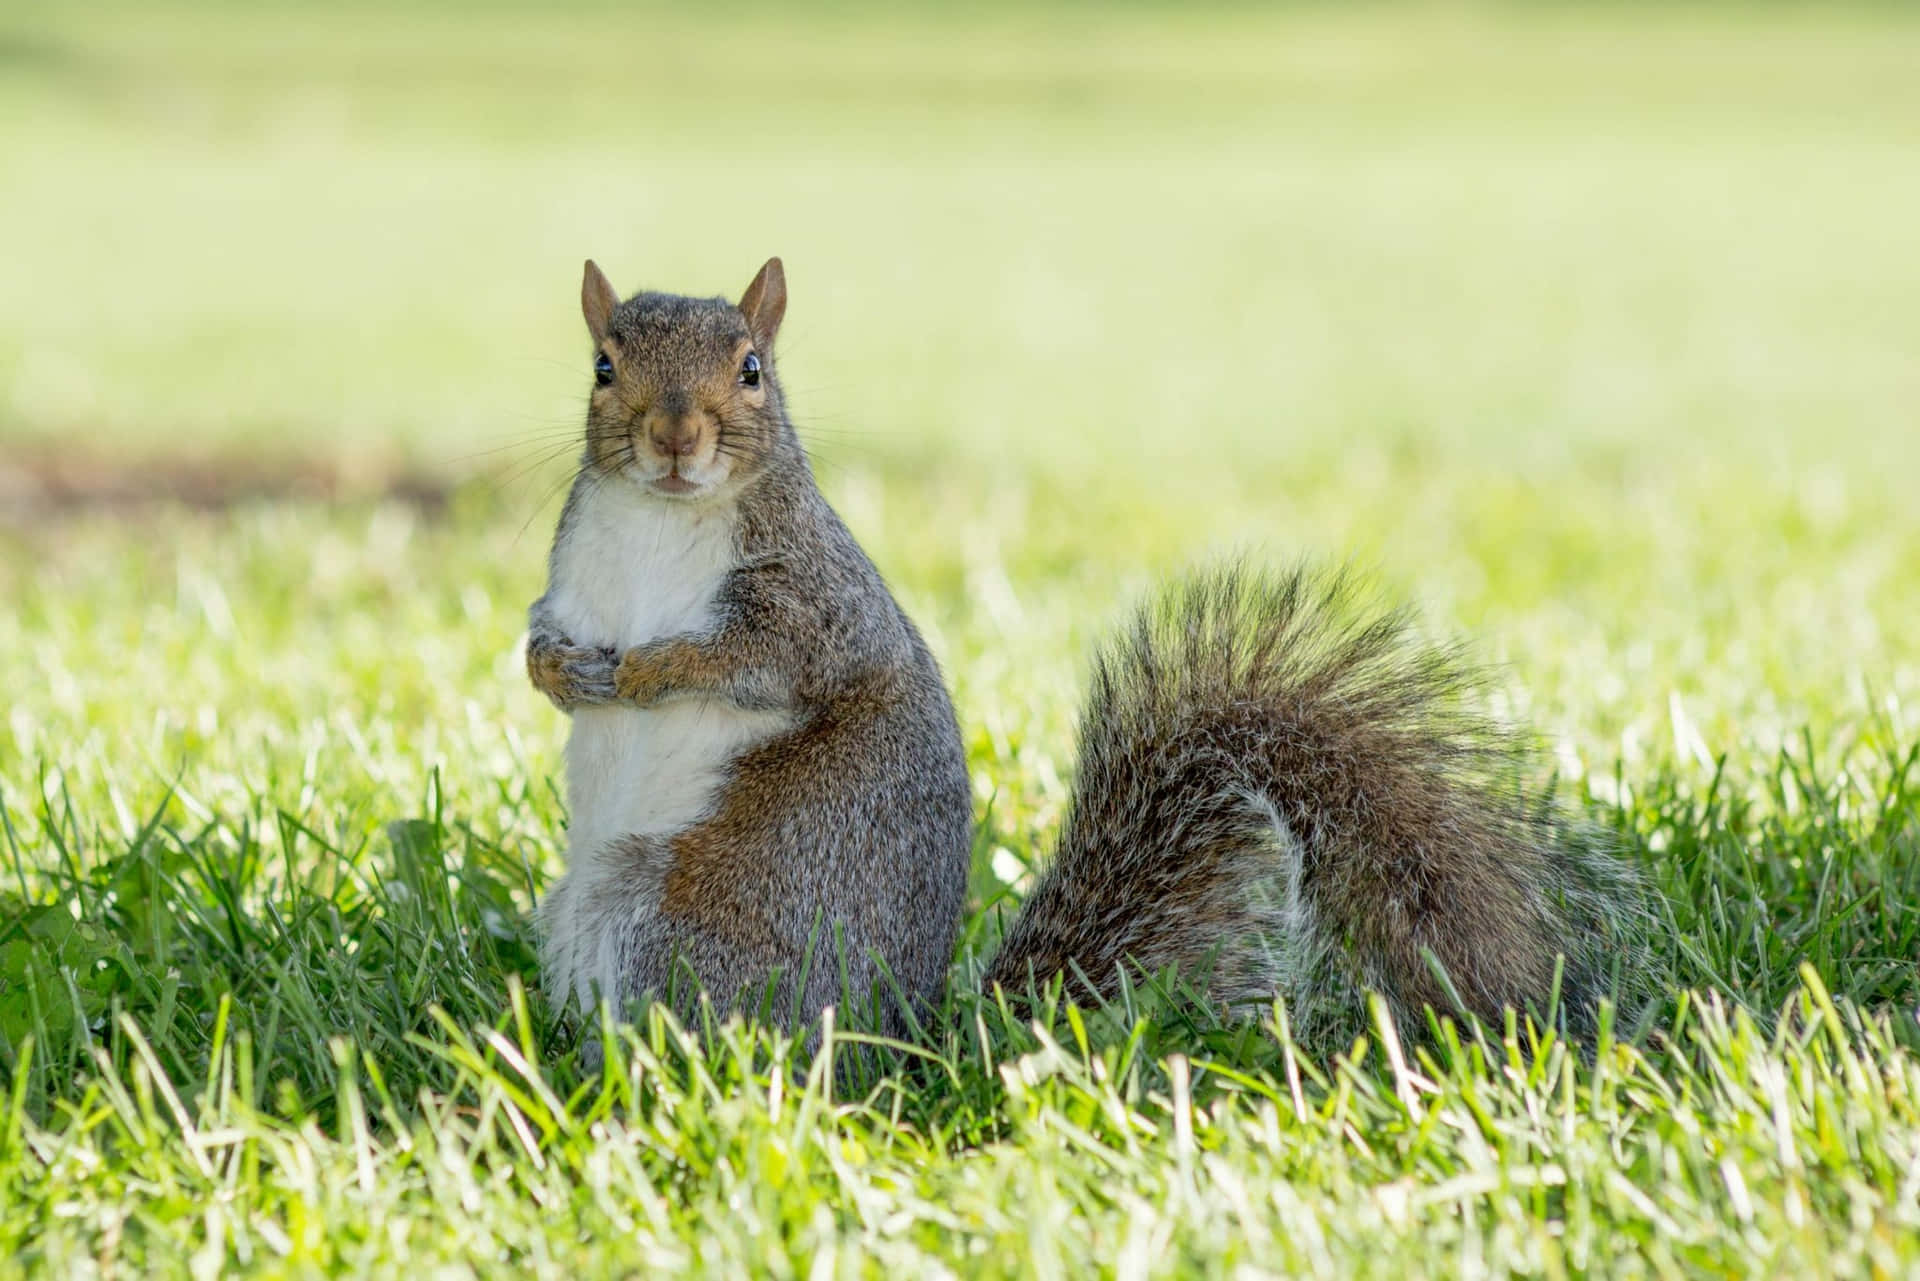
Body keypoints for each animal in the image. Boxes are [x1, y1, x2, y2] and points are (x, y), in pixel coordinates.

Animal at [526, 255, 1651, 1044]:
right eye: (602, 366)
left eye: (753, 371)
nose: (675, 439)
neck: (660, 521)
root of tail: (903, 1043)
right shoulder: (575, 575)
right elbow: (541, 633)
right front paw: (556, 672)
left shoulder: (815, 603)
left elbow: (762, 660)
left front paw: (651, 669)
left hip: (688, 914)